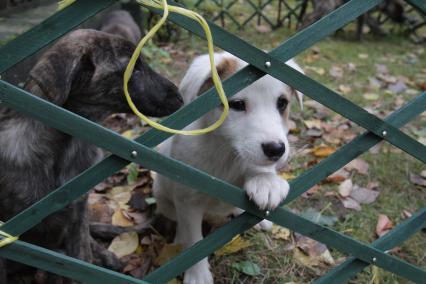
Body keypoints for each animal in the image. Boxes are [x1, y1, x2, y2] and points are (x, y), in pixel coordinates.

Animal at [153, 52, 302, 282]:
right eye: (238, 104)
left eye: (282, 103)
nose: (276, 150)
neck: (226, 153)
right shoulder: (188, 201)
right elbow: (194, 241)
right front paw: (197, 274)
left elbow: (258, 167)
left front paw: (266, 181)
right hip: (163, 196)